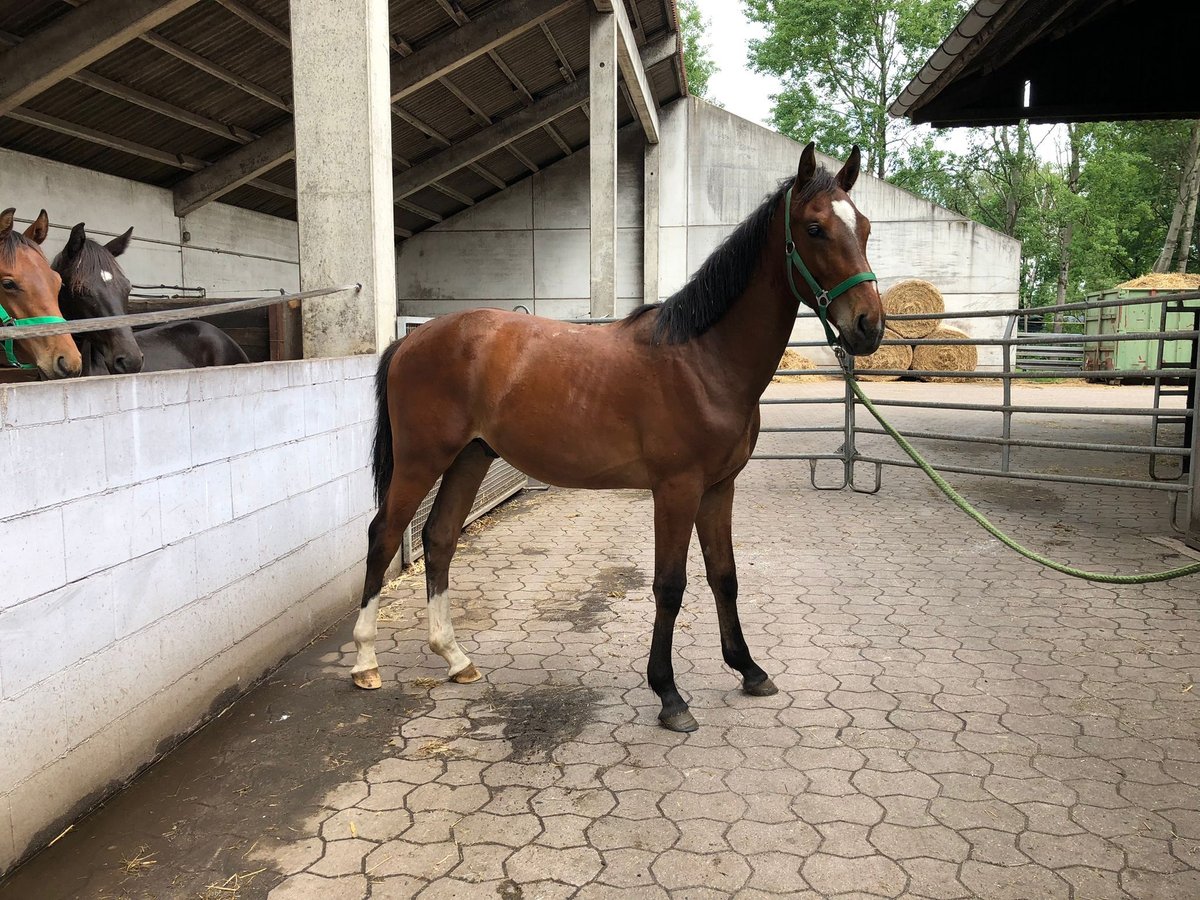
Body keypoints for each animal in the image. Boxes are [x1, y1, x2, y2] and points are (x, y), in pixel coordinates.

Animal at [360, 142, 888, 734]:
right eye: (815, 228)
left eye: (865, 228)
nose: (868, 326)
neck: (703, 358)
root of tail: (410, 341)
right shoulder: (676, 489)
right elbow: (670, 585)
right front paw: (669, 695)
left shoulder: (719, 487)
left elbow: (724, 575)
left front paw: (749, 670)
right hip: (421, 461)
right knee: (383, 536)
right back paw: (365, 664)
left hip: (470, 458)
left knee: (440, 538)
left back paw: (455, 659)